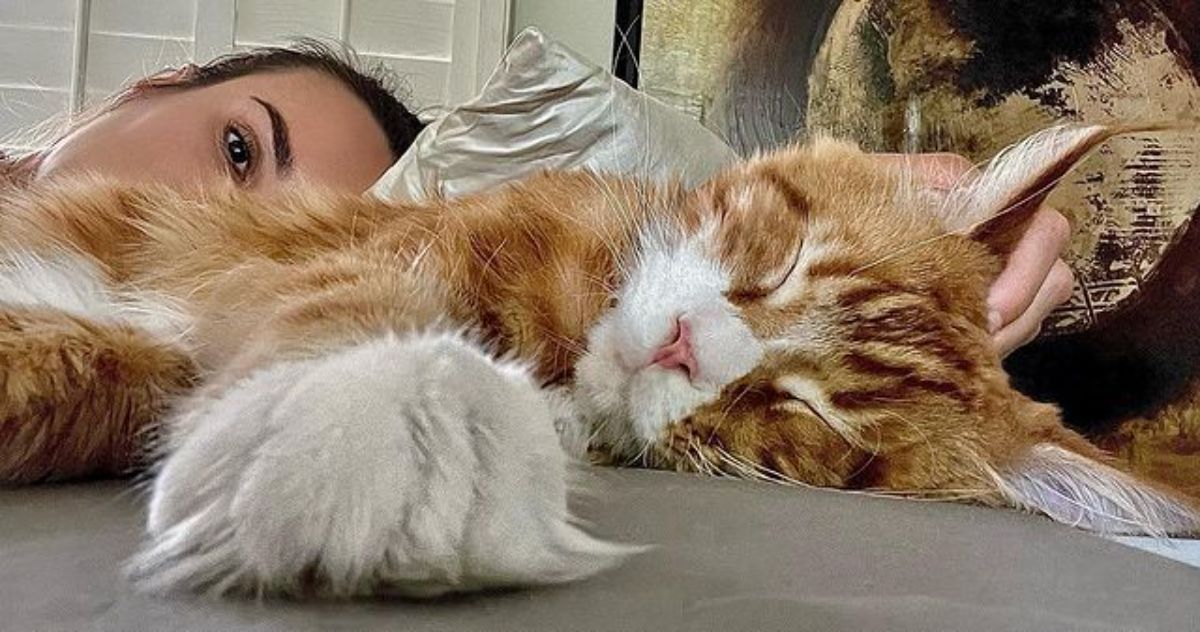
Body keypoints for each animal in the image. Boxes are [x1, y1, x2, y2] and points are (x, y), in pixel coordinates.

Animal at [0, 123, 1195, 599]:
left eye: (804, 413)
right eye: (781, 262)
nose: (683, 345)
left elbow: (76, 372)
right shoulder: (373, 255)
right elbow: (361, 322)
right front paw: (358, 456)